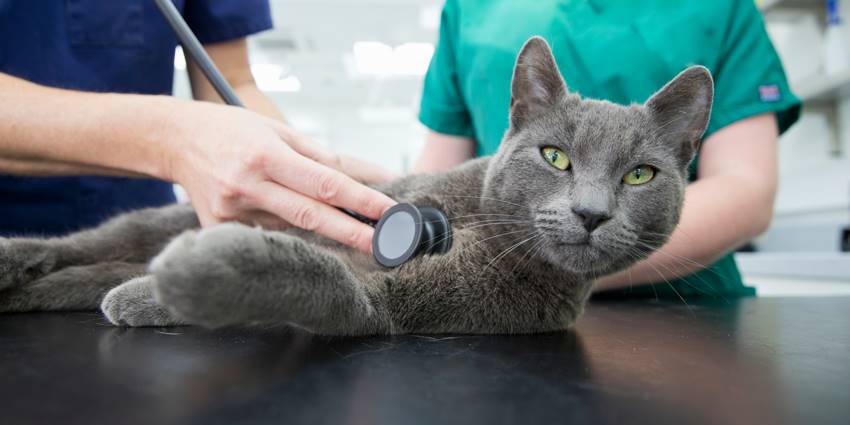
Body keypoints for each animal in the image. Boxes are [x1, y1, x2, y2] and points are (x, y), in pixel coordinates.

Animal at [0, 37, 708, 334]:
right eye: (555, 157)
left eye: (639, 175)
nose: (591, 212)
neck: (476, 228)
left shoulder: (388, 306)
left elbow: (316, 276)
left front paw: (187, 277)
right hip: (155, 220)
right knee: (83, 243)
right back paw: (15, 258)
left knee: (85, 274)